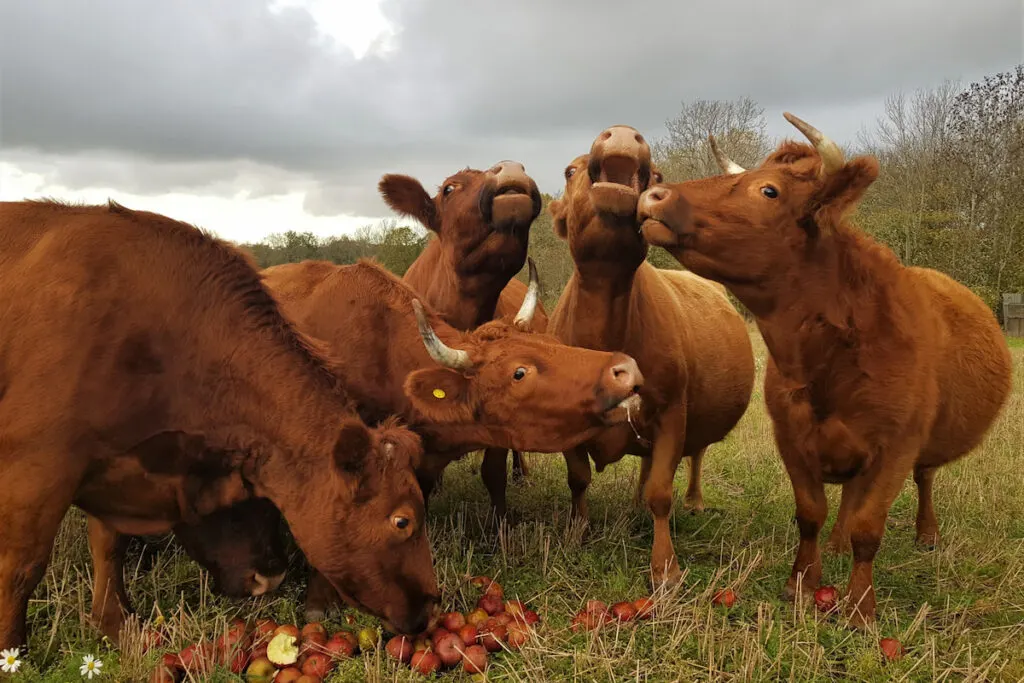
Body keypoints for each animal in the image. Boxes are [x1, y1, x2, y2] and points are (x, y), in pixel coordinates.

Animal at [0, 200, 436, 651]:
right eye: (402, 521)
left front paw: (115, 624)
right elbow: (21, 566)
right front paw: (13, 649)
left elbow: (109, 544)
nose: (431, 605)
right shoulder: (37, 463)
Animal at [548, 125, 757, 585]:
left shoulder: (673, 409)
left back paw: (693, 500)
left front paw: (665, 568)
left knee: (696, 455)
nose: (624, 133)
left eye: (659, 176)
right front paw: (576, 533)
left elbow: (662, 491)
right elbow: (578, 478)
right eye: (569, 170)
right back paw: (632, 503)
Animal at [638, 113, 1015, 630]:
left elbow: (869, 529)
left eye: (768, 190)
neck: (827, 364)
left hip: (924, 447)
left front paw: (860, 608)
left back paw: (927, 534)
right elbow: (812, 513)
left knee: (925, 480)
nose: (654, 194)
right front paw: (800, 584)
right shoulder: (792, 438)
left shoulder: (896, 447)